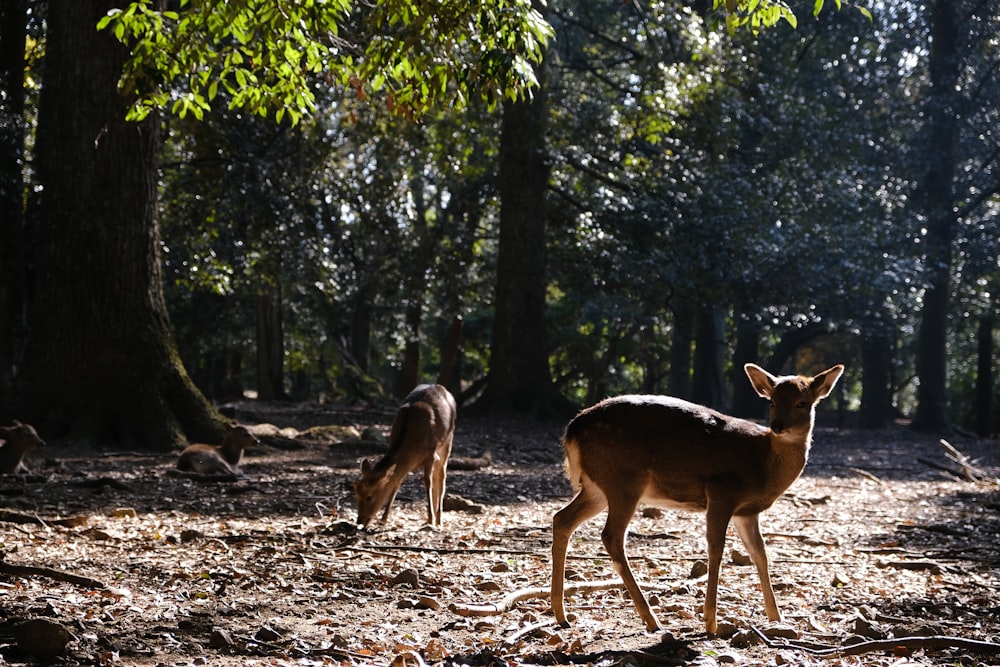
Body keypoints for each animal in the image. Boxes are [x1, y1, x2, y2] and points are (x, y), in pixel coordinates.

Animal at [356, 384, 458, 528]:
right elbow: (396, 483)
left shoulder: (430, 454)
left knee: (441, 476)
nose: (359, 520)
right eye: (356, 494)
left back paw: (438, 520)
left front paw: (430, 519)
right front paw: (384, 519)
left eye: (369, 497)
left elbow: (427, 482)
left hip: (448, 439)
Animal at [552, 362, 840, 636]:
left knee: (562, 519)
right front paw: (711, 622)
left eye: (802, 403)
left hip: (597, 487)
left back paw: (561, 614)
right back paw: (651, 619)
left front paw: (776, 617)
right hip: (623, 480)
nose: (778, 427)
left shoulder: (746, 511)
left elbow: (760, 553)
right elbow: (716, 550)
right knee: (611, 535)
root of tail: (572, 430)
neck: (764, 464)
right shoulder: (721, 492)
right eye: (772, 401)